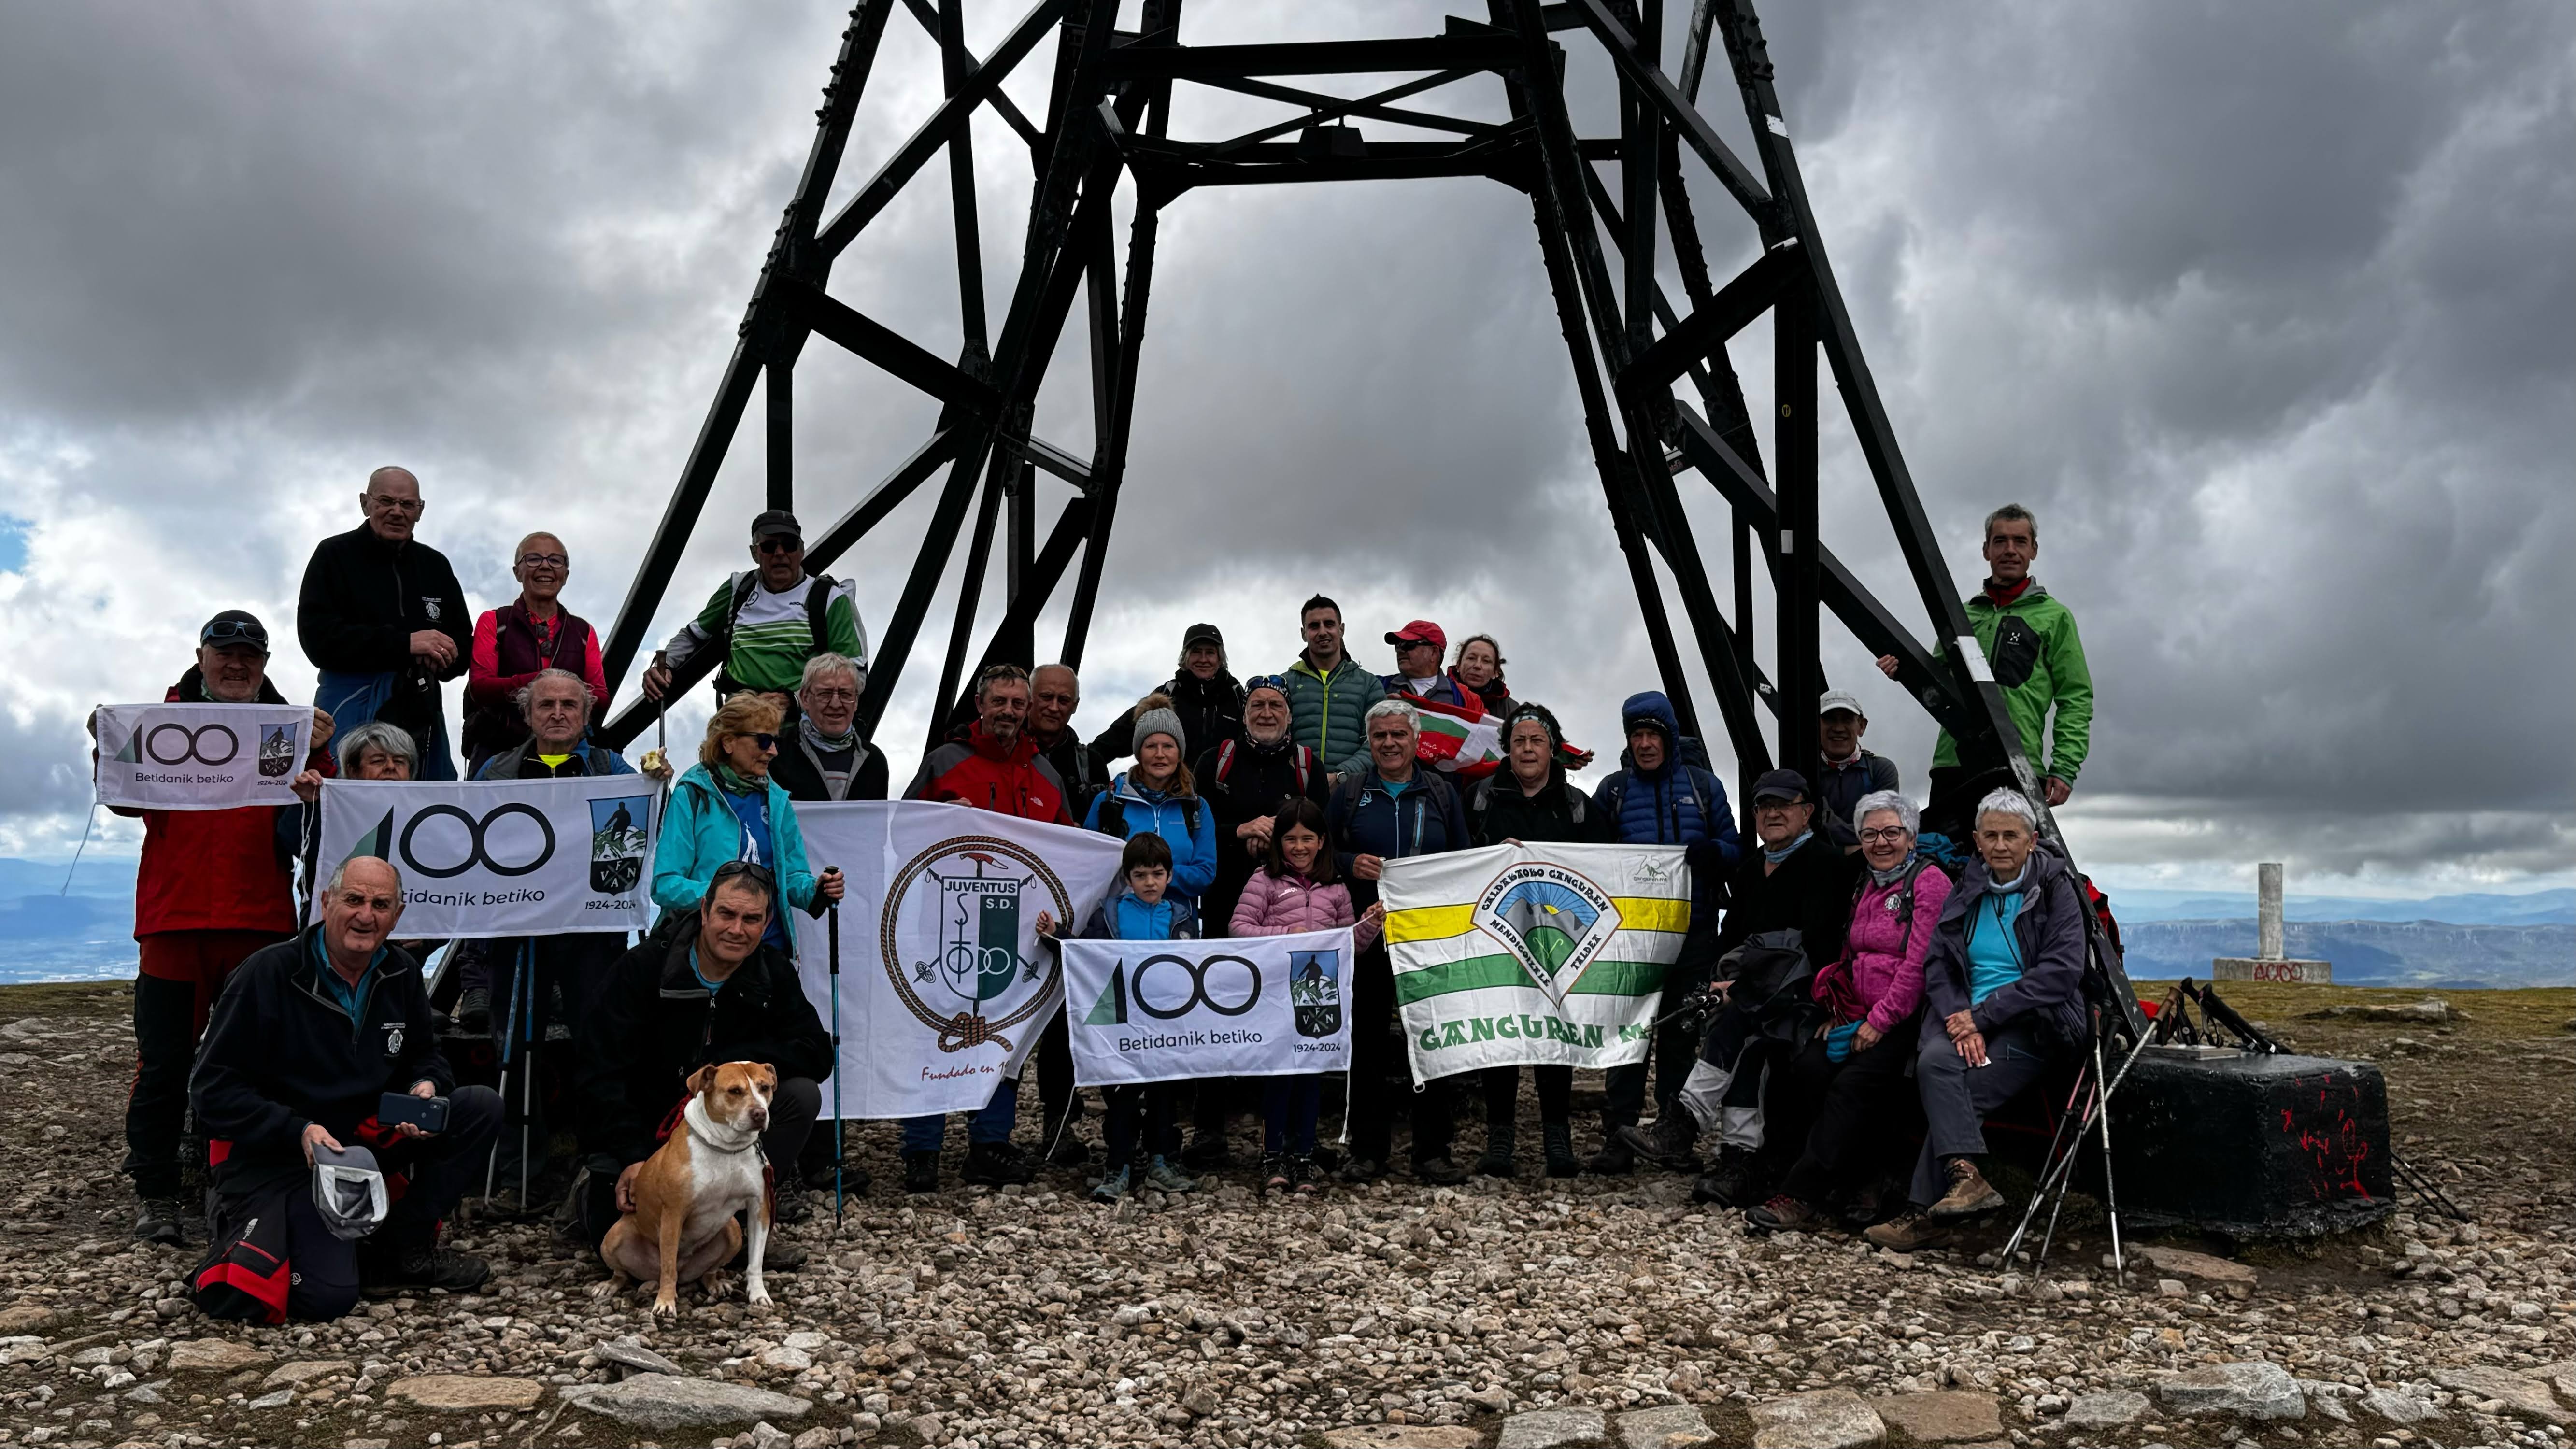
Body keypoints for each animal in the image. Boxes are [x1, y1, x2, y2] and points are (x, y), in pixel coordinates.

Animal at [592, 1060, 772, 1318]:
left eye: (765, 1088)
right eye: (735, 1091)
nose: (759, 1113)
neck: (726, 1149)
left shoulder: (759, 1208)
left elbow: (755, 1261)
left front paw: (759, 1295)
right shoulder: (673, 1213)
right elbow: (669, 1266)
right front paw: (665, 1303)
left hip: (734, 1232)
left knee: (709, 1271)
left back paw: (716, 1283)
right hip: (613, 1238)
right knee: (624, 1273)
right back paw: (610, 1286)